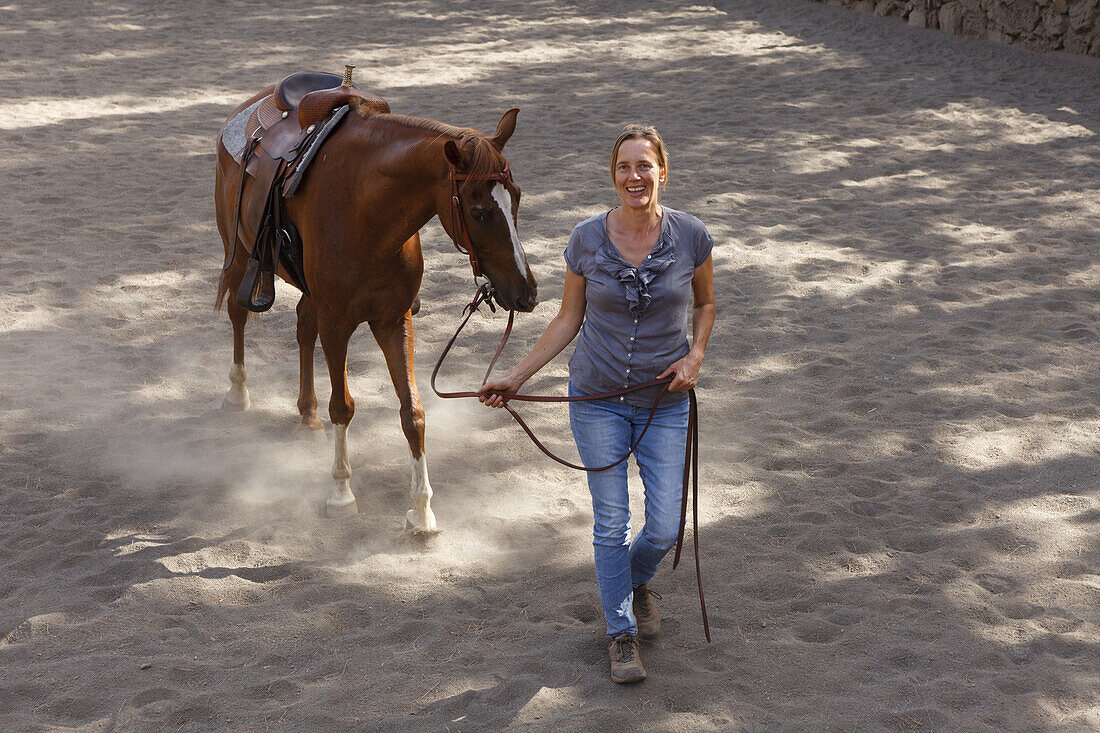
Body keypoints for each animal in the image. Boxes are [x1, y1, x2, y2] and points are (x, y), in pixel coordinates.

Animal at [213, 96, 536, 530]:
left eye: (516, 196)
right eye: (480, 211)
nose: (526, 293)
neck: (366, 212)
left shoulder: (393, 320)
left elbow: (412, 413)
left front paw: (421, 511)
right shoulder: (337, 323)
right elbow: (342, 406)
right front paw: (341, 493)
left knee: (303, 326)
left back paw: (307, 415)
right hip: (237, 250)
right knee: (237, 311)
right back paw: (238, 391)